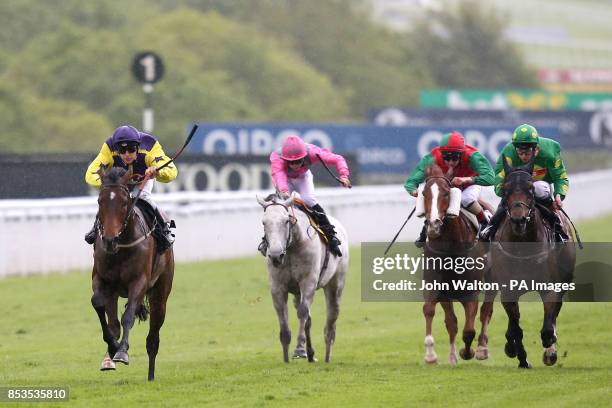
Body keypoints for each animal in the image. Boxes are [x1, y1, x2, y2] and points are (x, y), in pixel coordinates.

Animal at [92, 165, 175, 380]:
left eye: (124, 203)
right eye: (100, 201)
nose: (110, 240)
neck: (121, 247)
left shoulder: (139, 282)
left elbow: (128, 316)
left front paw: (122, 352)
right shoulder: (101, 279)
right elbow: (98, 304)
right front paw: (113, 347)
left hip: (160, 293)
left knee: (153, 337)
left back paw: (151, 376)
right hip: (114, 292)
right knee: (113, 322)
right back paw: (109, 357)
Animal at [255, 193, 350, 362]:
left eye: (286, 220)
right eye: (264, 222)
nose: (275, 255)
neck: (293, 246)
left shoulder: (308, 282)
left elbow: (303, 312)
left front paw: (299, 347)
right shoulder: (278, 286)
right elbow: (283, 316)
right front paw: (287, 356)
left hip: (336, 284)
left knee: (331, 318)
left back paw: (327, 355)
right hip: (297, 293)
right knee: (309, 321)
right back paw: (310, 353)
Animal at [420, 164, 492, 364]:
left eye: (446, 193)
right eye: (425, 193)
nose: (434, 225)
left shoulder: (471, 291)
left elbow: (469, 330)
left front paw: (467, 352)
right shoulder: (437, 286)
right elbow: (438, 315)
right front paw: (432, 355)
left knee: (486, 311)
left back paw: (482, 348)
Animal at [488, 158, 572, 368]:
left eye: (531, 189)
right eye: (506, 189)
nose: (519, 219)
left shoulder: (550, 287)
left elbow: (548, 327)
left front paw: (550, 348)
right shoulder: (508, 290)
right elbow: (515, 329)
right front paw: (521, 357)